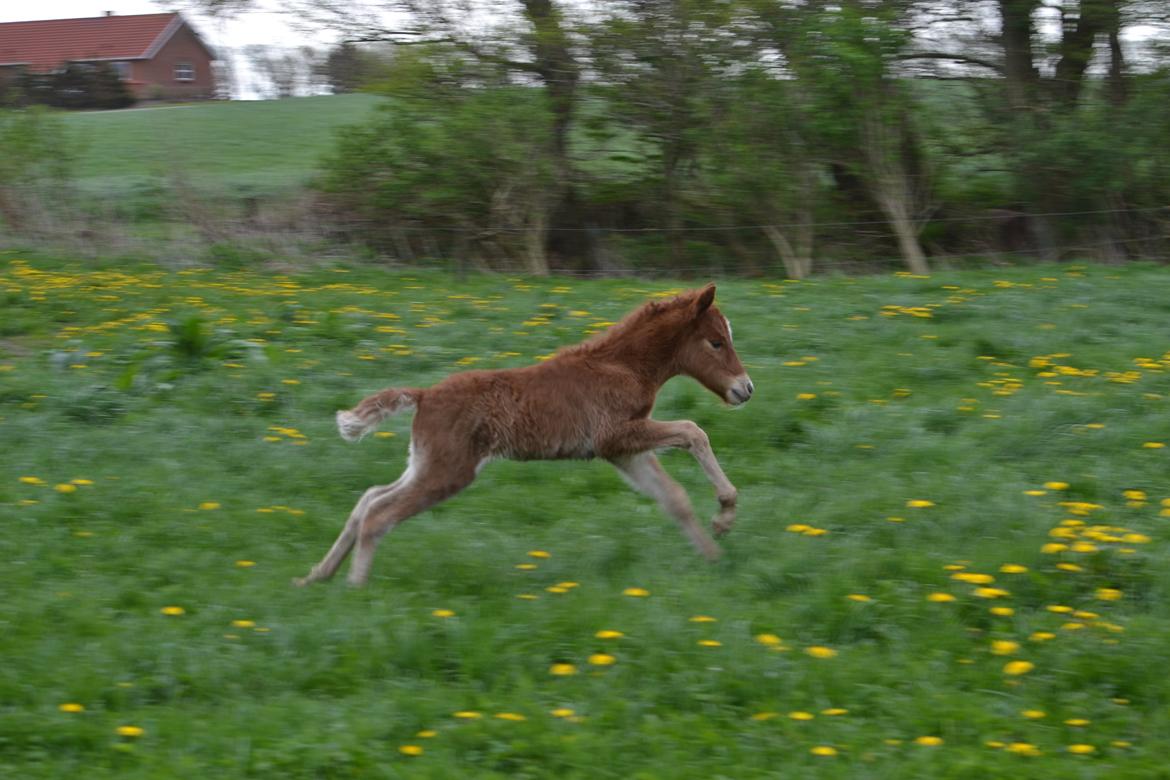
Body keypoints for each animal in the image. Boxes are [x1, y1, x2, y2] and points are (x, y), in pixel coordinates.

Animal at [297, 285, 753, 584]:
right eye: (716, 342)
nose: (745, 389)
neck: (621, 366)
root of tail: (424, 395)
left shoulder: (622, 451)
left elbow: (672, 497)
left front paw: (714, 553)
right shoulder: (617, 435)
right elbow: (694, 431)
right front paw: (725, 514)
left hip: (426, 463)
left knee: (369, 498)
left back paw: (318, 575)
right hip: (448, 471)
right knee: (379, 513)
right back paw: (356, 587)